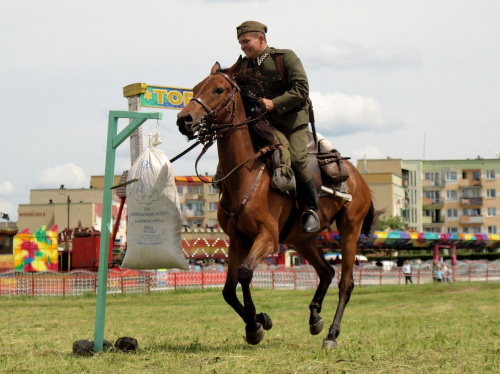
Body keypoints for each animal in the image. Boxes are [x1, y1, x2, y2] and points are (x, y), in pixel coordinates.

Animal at [176, 60, 376, 350]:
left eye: (218, 89)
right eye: (194, 88)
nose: (184, 119)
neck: (246, 174)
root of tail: (357, 176)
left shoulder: (267, 238)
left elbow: (245, 274)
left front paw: (255, 324)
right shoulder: (237, 241)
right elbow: (228, 290)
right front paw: (258, 321)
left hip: (350, 229)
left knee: (345, 283)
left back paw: (331, 334)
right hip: (302, 240)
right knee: (327, 271)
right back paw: (315, 317)